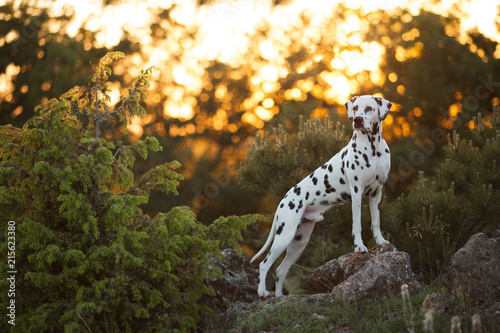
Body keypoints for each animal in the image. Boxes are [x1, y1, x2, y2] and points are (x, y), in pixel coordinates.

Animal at [252, 94, 392, 296]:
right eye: (355, 108)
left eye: (369, 108)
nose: (357, 120)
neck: (372, 148)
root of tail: (283, 201)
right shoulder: (357, 192)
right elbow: (357, 225)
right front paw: (359, 247)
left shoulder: (376, 192)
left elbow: (376, 222)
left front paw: (381, 242)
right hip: (284, 235)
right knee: (264, 264)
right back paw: (263, 292)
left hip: (298, 243)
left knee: (280, 270)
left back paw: (278, 297)